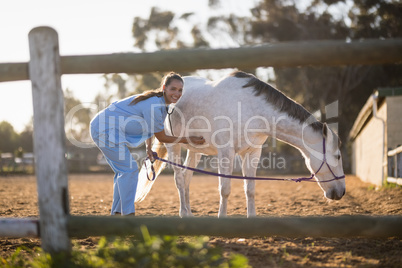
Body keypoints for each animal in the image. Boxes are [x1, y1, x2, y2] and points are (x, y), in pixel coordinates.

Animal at [136, 70, 346, 218]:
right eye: (337, 156)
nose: (341, 192)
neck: (252, 109)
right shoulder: (226, 153)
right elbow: (225, 189)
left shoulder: (253, 152)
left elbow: (250, 189)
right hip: (174, 147)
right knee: (179, 179)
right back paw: (183, 214)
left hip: (195, 150)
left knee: (187, 178)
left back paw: (189, 213)